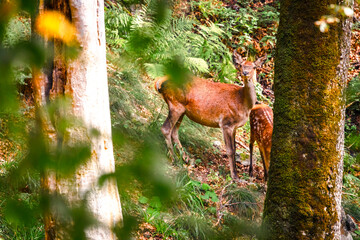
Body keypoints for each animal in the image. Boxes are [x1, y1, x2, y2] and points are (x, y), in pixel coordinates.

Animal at [155, 52, 268, 180]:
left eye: (254, 67)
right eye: (241, 65)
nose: (245, 73)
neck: (243, 103)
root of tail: (160, 81)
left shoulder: (234, 127)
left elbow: (235, 148)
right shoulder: (226, 123)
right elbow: (230, 150)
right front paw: (234, 176)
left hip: (182, 110)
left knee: (174, 132)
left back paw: (187, 159)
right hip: (175, 104)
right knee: (166, 129)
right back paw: (174, 159)